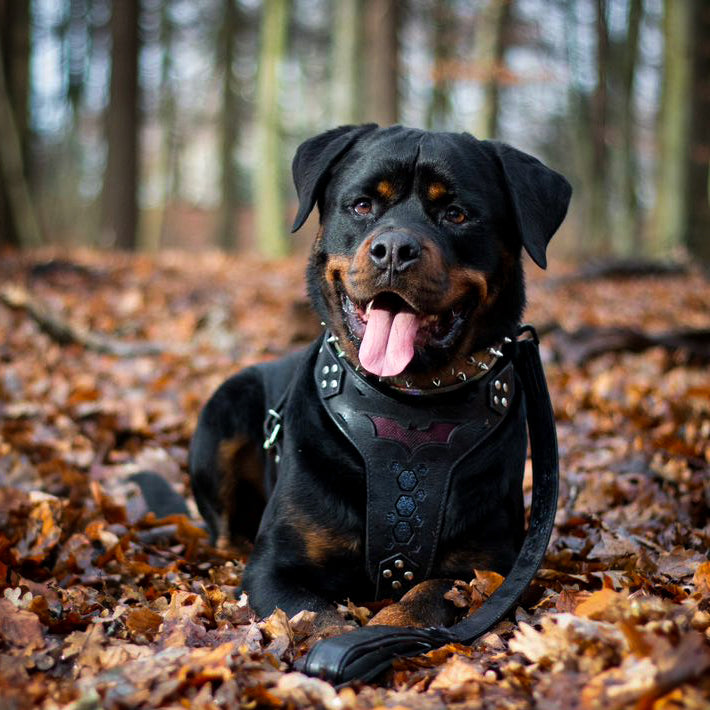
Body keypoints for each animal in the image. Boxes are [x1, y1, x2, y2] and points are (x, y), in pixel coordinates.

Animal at [191, 126, 572, 628]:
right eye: (362, 205)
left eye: (456, 213)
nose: (394, 250)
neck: (408, 400)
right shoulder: (275, 567)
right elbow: (319, 621)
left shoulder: (491, 567)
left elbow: (425, 597)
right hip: (222, 414)